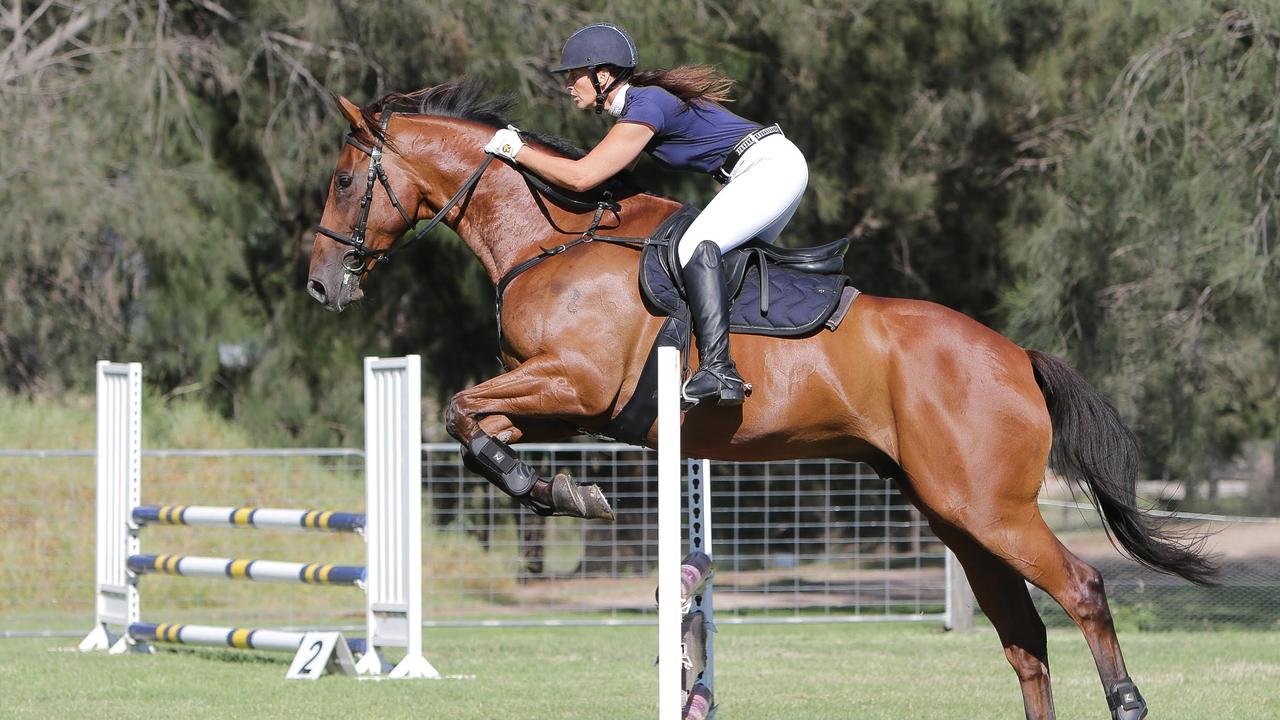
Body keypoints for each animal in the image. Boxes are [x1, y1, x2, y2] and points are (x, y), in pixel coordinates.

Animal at [307, 81, 1208, 717]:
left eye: (346, 180)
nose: (321, 287)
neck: (550, 241)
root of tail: (1016, 355)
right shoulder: (563, 400)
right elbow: (475, 426)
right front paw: (557, 488)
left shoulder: (575, 380)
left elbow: (458, 409)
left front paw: (560, 491)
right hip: (958, 513)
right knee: (1022, 636)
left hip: (990, 508)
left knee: (1082, 590)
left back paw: (1129, 702)